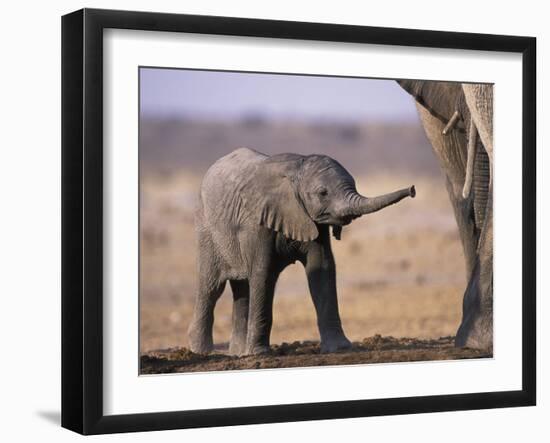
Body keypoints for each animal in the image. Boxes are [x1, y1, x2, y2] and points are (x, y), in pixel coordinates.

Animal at [188, 149, 416, 358]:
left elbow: (321, 269)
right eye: (323, 193)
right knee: (212, 287)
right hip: (207, 230)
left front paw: (340, 348)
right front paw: (260, 354)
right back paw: (202, 352)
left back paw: (237, 353)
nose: (413, 189)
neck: (297, 168)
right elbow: (263, 275)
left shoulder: (313, 220)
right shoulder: (256, 221)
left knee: (241, 287)